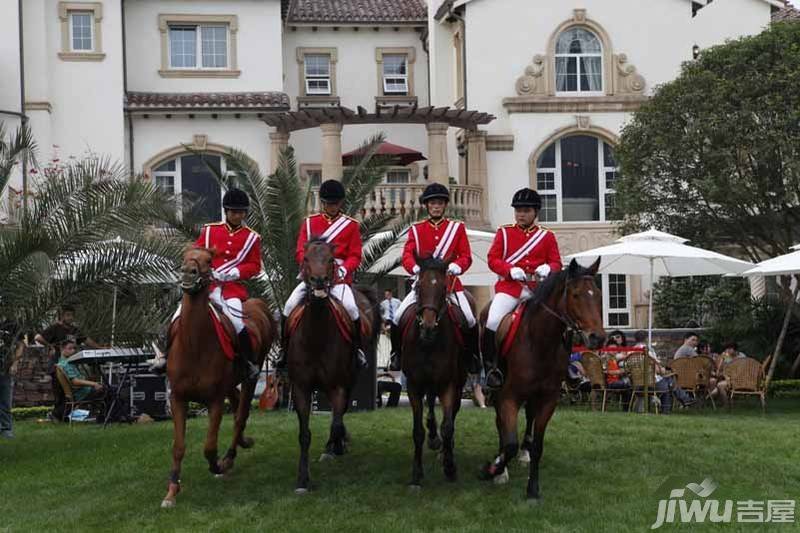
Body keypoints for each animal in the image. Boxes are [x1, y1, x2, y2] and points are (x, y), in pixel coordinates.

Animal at [161, 246, 276, 508]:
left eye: (208, 260)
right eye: (185, 255)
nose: (188, 272)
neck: (194, 345)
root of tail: (258, 305)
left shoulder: (214, 401)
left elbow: (209, 448)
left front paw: (218, 466)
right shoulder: (178, 398)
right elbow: (178, 447)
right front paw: (172, 491)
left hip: (251, 377)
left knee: (240, 416)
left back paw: (231, 456)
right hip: (231, 383)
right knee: (236, 405)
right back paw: (241, 443)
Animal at [290, 239, 380, 492]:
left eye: (331, 259)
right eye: (306, 258)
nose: (319, 281)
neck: (316, 336)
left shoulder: (338, 385)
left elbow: (336, 423)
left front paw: (335, 446)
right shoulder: (301, 388)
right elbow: (304, 434)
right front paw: (302, 479)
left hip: (350, 379)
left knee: (341, 413)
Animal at [400, 255, 476, 486]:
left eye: (443, 287)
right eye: (418, 286)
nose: (428, 327)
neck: (428, 344)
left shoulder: (448, 384)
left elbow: (448, 426)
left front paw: (450, 467)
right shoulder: (414, 385)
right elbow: (418, 431)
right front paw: (416, 474)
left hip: (458, 381)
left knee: (451, 411)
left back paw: (444, 448)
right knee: (431, 403)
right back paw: (434, 439)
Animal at [478, 258, 604, 498]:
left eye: (599, 294)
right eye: (575, 295)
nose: (598, 338)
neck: (539, 342)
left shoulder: (548, 399)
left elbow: (537, 445)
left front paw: (533, 490)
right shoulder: (509, 396)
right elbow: (509, 442)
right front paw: (494, 470)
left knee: (528, 419)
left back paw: (523, 454)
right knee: (501, 424)